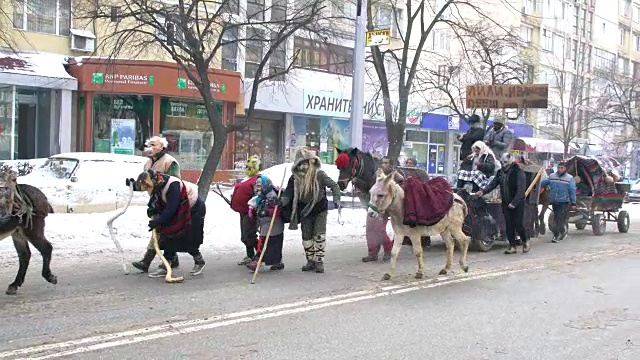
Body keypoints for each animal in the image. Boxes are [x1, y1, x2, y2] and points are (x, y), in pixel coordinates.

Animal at [0, 166, 57, 296]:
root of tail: (42, 195)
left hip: (32, 230)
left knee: (46, 248)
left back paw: (49, 277)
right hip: (17, 233)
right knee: (25, 255)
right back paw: (14, 285)